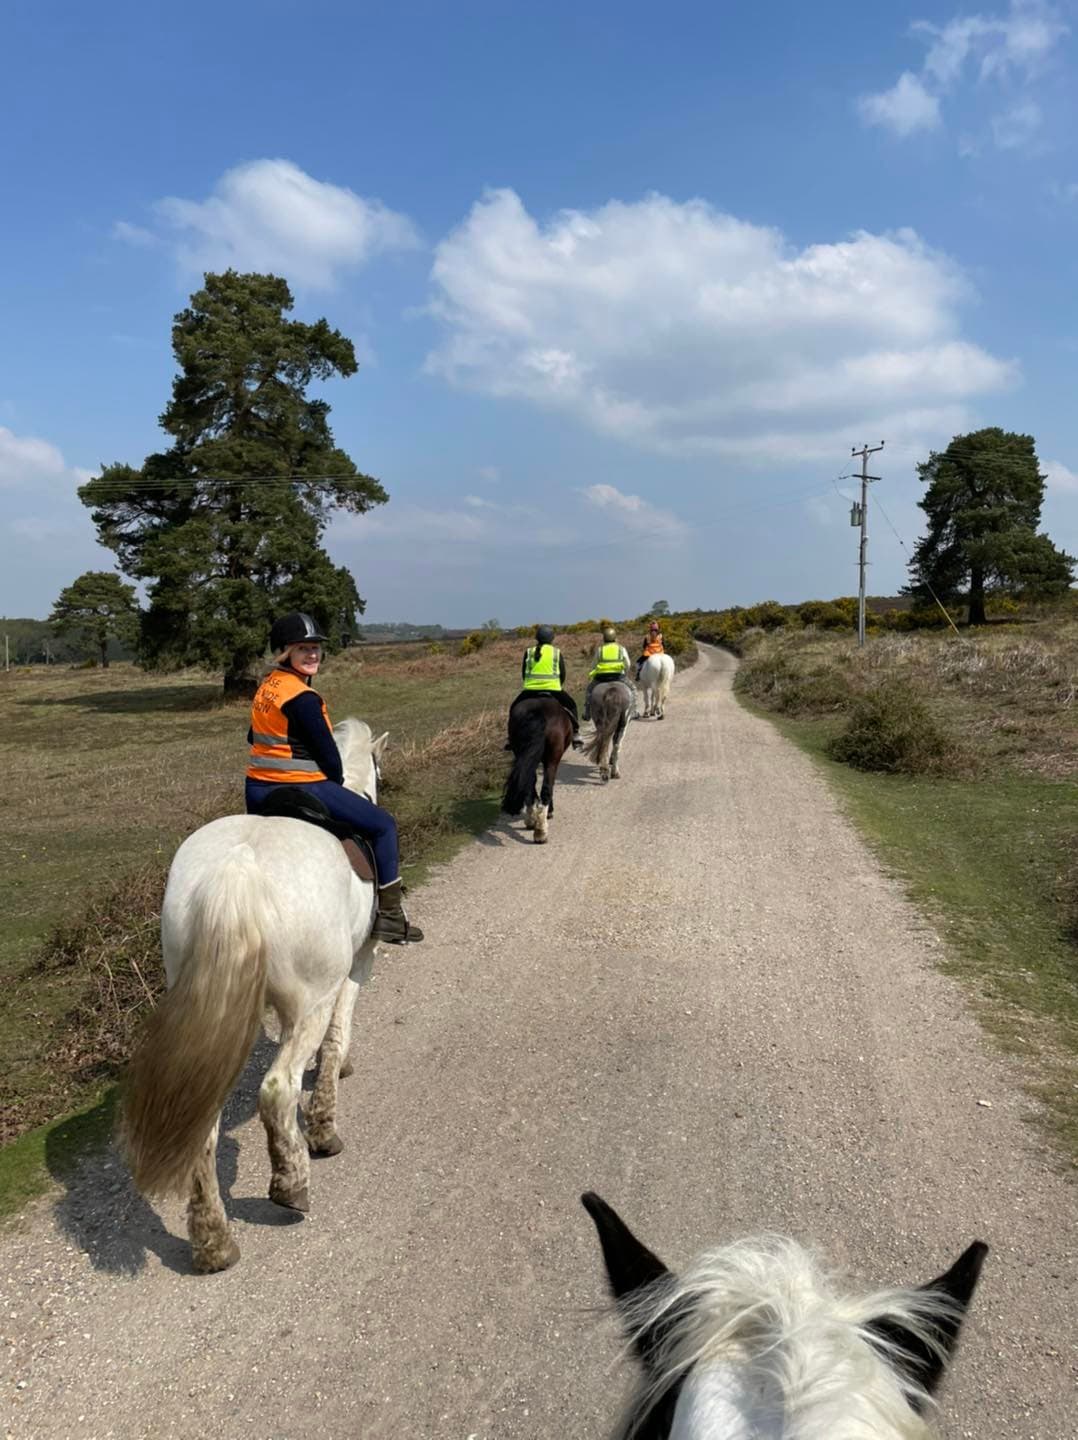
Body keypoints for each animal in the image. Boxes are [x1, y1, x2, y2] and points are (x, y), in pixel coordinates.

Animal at [120, 720, 385, 1272]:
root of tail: (237, 867)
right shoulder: (358, 964)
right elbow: (338, 1033)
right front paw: (325, 1114)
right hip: (307, 1002)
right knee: (277, 1089)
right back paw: (292, 1182)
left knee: (202, 1122)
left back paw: (213, 1242)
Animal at [503, 691, 572, 840]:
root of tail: (537, 711)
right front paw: (549, 812)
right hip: (552, 758)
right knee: (546, 789)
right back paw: (541, 831)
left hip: (522, 753)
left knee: (528, 784)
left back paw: (531, 821)